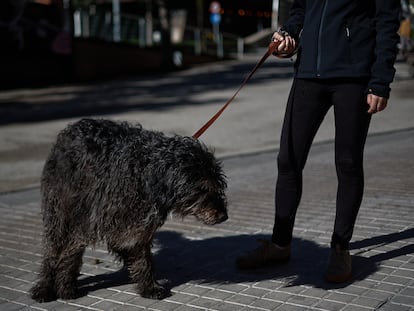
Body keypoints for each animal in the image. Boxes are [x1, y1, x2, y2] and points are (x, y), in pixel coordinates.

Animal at [30, 119, 228, 302]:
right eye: (202, 189)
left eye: (218, 186)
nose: (224, 216)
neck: (147, 173)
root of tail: (71, 128)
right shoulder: (89, 220)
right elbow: (70, 253)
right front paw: (65, 287)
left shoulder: (135, 227)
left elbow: (140, 257)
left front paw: (148, 287)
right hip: (59, 212)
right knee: (52, 250)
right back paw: (44, 287)